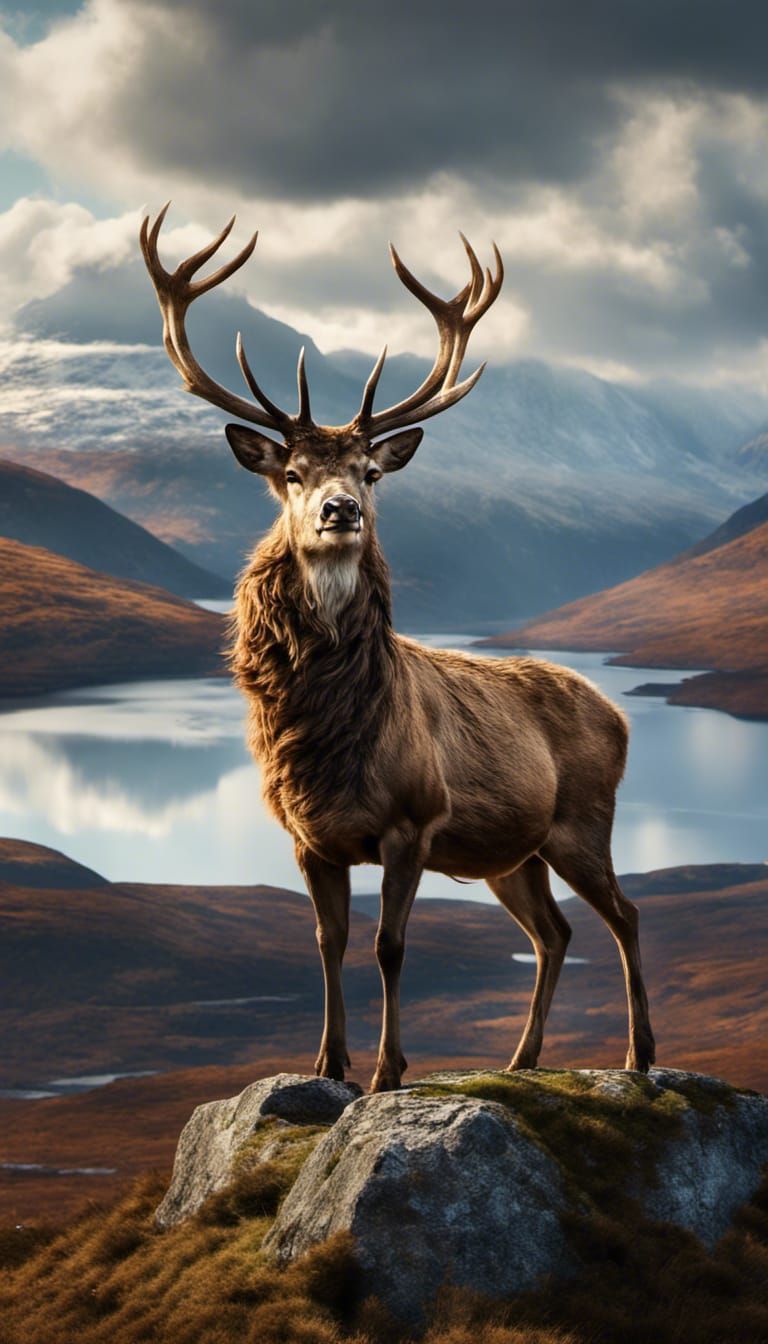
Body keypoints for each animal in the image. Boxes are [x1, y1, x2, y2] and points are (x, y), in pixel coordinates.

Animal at [140, 205, 656, 1093]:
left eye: (371, 472)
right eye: (293, 473)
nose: (341, 510)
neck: (332, 737)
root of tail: (620, 715)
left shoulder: (413, 819)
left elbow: (389, 946)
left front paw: (389, 1072)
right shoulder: (308, 834)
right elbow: (328, 942)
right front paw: (328, 1062)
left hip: (582, 820)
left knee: (623, 914)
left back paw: (640, 1053)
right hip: (509, 852)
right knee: (553, 931)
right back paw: (521, 1059)